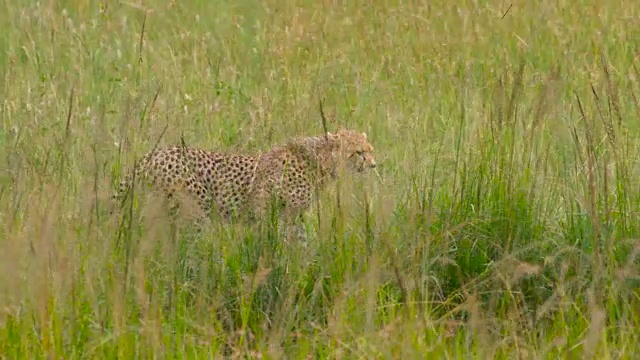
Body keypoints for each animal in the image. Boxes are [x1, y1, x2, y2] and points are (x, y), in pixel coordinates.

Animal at [114, 129, 376, 225]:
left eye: (370, 150)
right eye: (359, 152)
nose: (374, 164)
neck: (318, 160)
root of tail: (150, 155)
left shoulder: (293, 215)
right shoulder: (265, 204)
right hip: (196, 206)